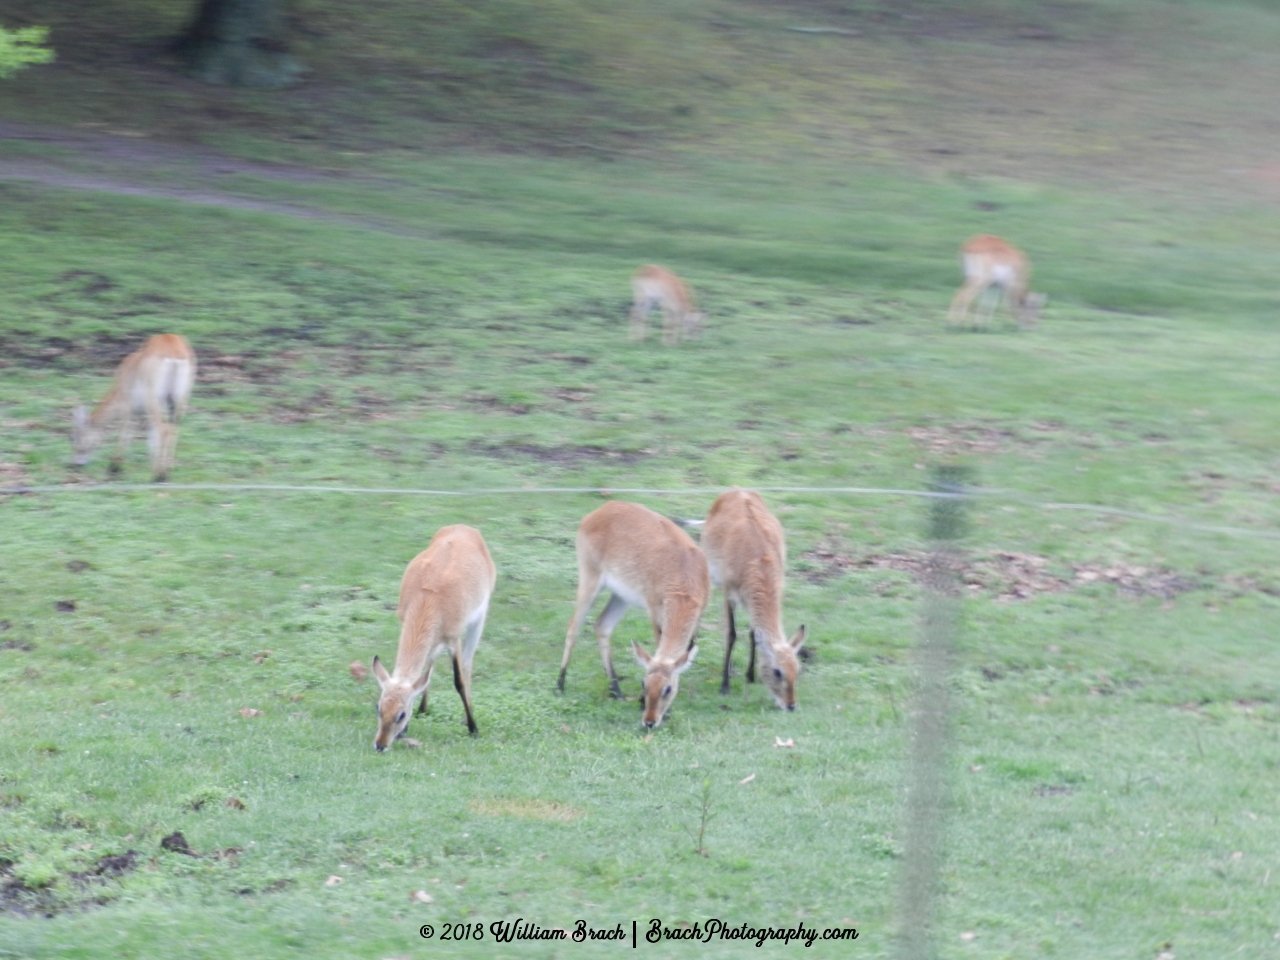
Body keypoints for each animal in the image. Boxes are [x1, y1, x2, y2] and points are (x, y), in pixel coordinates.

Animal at [72, 335, 195, 483]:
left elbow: (126, 433)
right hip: (180, 402)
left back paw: (159, 475)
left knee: (163, 430)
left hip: (155, 401)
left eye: (74, 437)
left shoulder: (128, 407)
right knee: (173, 430)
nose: (76, 464)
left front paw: (114, 467)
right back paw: (165, 471)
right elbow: (150, 437)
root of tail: (175, 353)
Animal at [371, 527, 494, 752]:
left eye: (401, 714)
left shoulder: (454, 639)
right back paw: (424, 709)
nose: (380, 745)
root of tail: (465, 527)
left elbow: (458, 681)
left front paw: (473, 728)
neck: (428, 598)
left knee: (467, 663)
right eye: (379, 707)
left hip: (478, 620)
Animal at [558, 504, 711, 727]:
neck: (684, 573)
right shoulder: (655, 612)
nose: (649, 721)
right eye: (644, 683)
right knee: (573, 627)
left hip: (621, 596)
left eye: (668, 689)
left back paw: (616, 692)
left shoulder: (698, 617)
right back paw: (560, 685)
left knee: (602, 625)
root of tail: (601, 509)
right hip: (590, 581)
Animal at [696, 491, 803, 711]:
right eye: (777, 671)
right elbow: (731, 634)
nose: (791, 705)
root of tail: (736, 490)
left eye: (797, 670)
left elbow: (754, 635)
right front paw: (724, 686)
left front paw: (751, 676)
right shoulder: (729, 593)